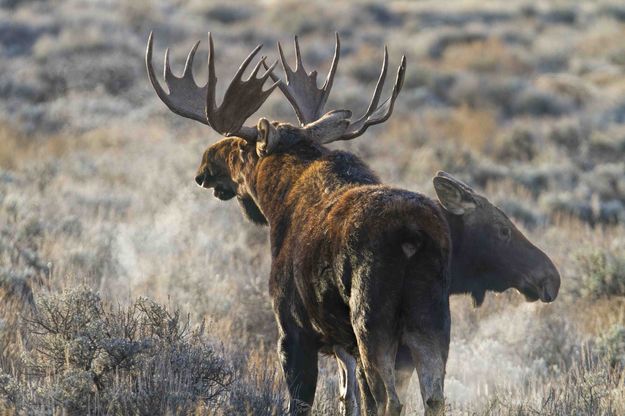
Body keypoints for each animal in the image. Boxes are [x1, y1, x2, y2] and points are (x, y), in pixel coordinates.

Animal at [146, 33, 560, 416]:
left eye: (237, 147)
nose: (204, 165)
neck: (277, 202)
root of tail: (413, 236)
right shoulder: (344, 347)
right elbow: (350, 400)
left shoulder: (294, 332)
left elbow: (304, 403)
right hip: (431, 325)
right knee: (434, 398)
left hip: (372, 323)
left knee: (390, 401)